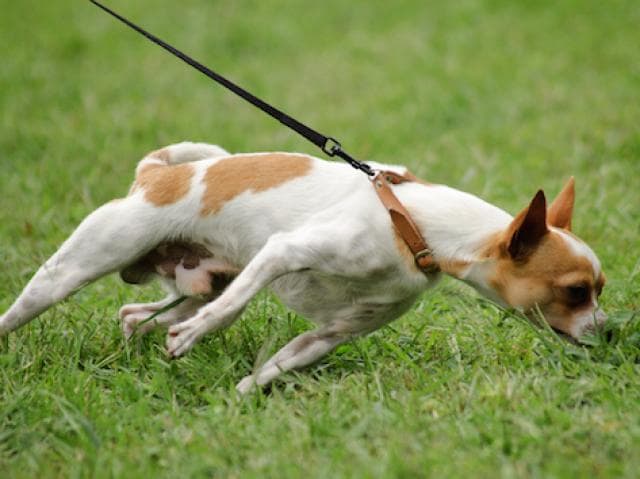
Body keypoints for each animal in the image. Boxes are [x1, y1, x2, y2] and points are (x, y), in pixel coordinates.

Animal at [0, 142, 604, 394]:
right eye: (577, 292)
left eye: (600, 289)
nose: (612, 332)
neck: (412, 223)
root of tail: (154, 174)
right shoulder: (282, 252)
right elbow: (232, 311)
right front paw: (196, 338)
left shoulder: (332, 334)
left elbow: (274, 369)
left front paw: (239, 398)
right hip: (74, 270)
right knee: (28, 307)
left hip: (199, 281)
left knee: (136, 313)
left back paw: (137, 342)